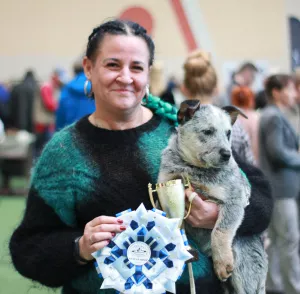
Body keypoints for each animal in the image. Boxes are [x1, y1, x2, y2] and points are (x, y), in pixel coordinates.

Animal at [158, 100, 268, 294]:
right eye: (208, 131)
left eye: (228, 133)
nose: (227, 154)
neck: (193, 170)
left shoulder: (234, 200)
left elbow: (220, 231)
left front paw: (222, 263)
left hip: (245, 270)